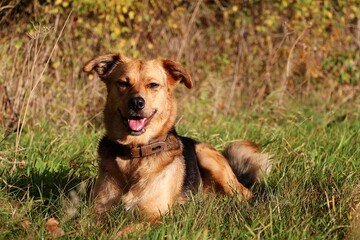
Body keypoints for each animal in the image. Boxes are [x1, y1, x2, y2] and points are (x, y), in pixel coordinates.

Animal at [83, 53, 270, 221]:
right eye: (123, 83)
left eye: (153, 85)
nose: (136, 103)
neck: (135, 152)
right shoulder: (95, 214)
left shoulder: (152, 216)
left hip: (209, 157)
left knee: (245, 194)